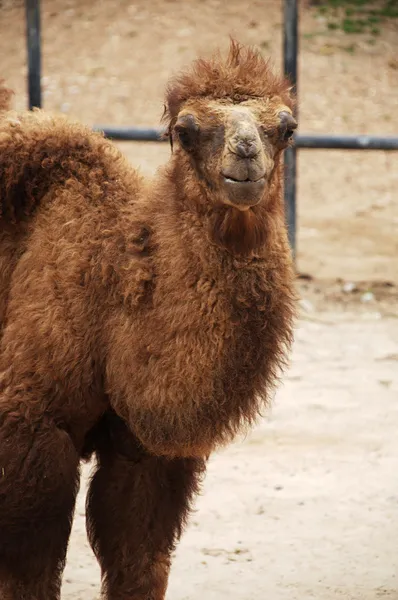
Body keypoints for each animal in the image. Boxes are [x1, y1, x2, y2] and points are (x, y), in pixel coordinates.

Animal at [0, 42, 296, 600]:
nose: (246, 153)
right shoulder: (29, 425)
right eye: (187, 129)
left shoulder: (149, 450)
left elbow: (138, 559)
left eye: (287, 128)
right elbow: (28, 571)